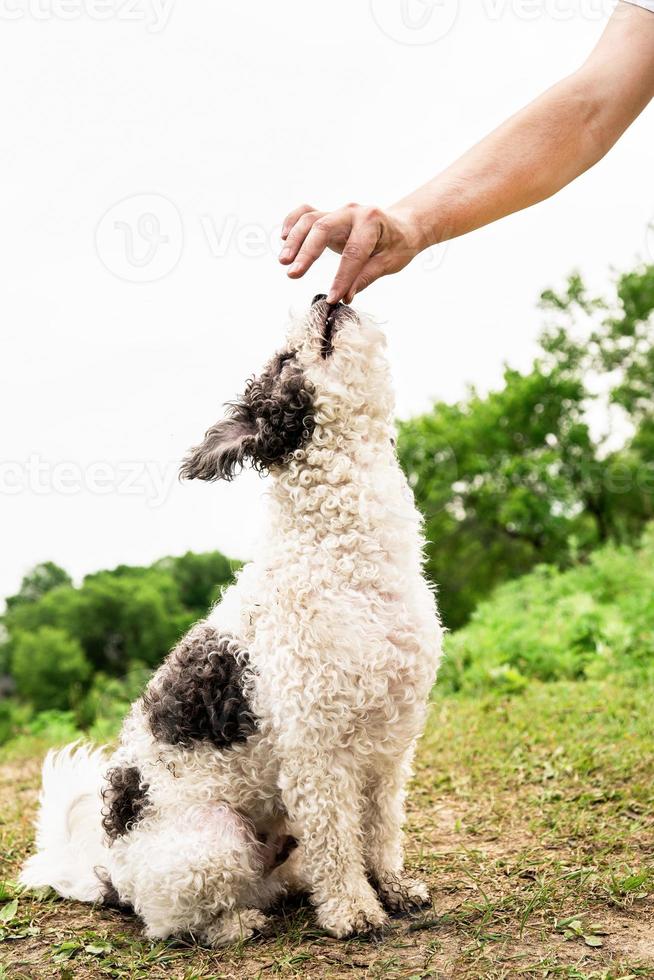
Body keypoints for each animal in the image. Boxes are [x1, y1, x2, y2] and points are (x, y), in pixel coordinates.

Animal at [20, 296, 444, 940]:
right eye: (285, 358)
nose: (321, 296)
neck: (340, 551)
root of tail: (110, 876)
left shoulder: (390, 751)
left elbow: (380, 831)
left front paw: (392, 888)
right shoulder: (317, 755)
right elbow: (337, 843)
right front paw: (353, 911)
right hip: (214, 841)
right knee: (173, 922)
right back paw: (239, 924)